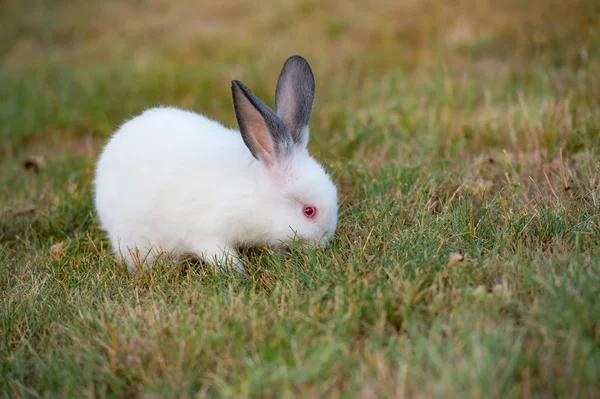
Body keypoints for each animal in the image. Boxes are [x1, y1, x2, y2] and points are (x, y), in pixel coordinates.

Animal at [94, 55, 338, 272]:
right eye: (309, 211)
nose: (325, 241)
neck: (255, 194)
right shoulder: (205, 233)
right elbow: (219, 254)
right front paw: (237, 272)